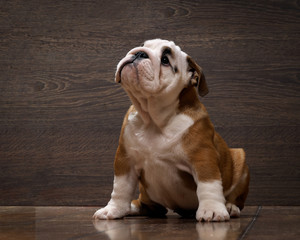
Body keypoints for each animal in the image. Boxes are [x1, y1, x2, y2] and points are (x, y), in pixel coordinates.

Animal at [93, 39, 248, 221]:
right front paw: (113, 209)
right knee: (147, 205)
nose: (140, 53)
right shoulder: (125, 159)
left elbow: (208, 184)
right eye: (144, 45)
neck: (154, 119)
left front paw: (212, 209)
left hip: (240, 159)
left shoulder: (203, 157)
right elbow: (120, 188)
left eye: (165, 60)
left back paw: (230, 207)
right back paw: (131, 207)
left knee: (236, 199)